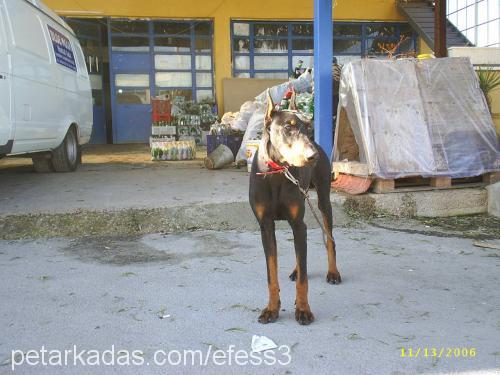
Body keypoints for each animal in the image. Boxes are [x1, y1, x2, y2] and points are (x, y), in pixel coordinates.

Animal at [249, 92, 342, 326]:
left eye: (309, 128)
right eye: (287, 127)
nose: (312, 156)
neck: (278, 173)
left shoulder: (299, 224)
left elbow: (304, 279)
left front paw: (303, 310)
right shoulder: (266, 227)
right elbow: (271, 274)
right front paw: (272, 309)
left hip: (323, 201)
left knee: (329, 239)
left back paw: (333, 272)